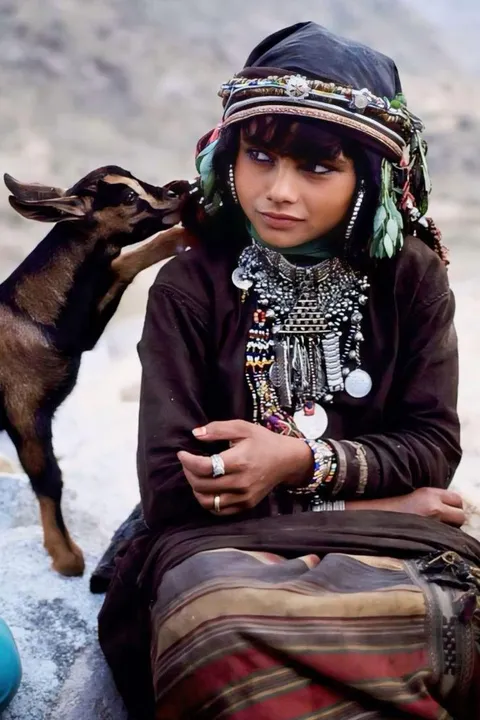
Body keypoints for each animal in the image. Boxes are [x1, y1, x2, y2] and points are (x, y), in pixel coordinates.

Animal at [1, 166, 192, 576]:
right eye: (129, 197)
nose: (179, 188)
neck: (30, 314)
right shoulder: (26, 414)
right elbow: (49, 479)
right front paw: (67, 559)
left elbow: (120, 267)